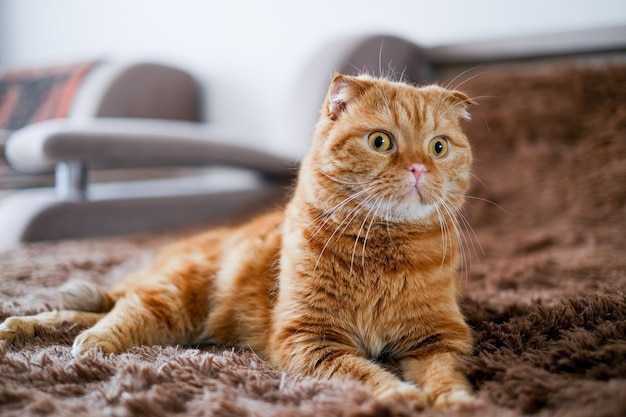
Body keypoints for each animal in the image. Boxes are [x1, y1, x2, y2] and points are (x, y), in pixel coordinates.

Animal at [2, 73, 476, 408]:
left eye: (438, 147)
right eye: (381, 141)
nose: (419, 168)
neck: (384, 250)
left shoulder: (438, 338)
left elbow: (445, 373)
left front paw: (455, 401)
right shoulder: (309, 338)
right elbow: (364, 373)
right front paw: (401, 395)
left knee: (92, 310)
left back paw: (19, 327)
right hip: (174, 299)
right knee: (118, 313)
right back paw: (75, 341)